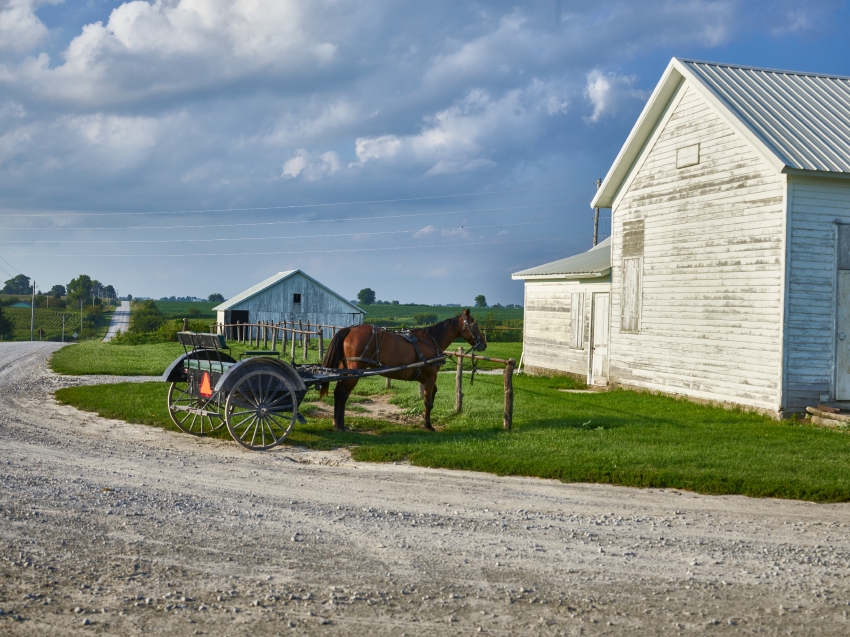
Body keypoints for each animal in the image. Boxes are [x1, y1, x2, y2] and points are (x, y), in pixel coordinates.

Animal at [320, 310, 484, 432]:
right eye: (475, 325)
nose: (484, 343)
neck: (432, 340)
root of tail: (349, 329)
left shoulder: (426, 378)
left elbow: (431, 397)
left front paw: (425, 420)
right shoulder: (431, 377)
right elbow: (428, 402)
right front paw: (428, 425)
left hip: (343, 370)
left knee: (337, 393)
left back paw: (336, 422)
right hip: (354, 372)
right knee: (342, 394)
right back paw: (340, 425)